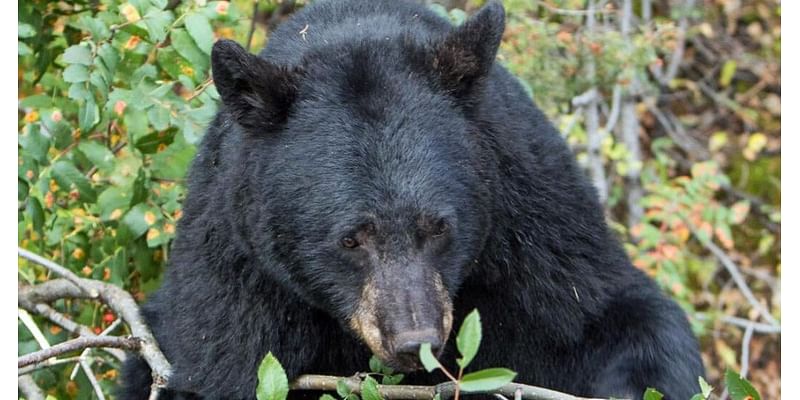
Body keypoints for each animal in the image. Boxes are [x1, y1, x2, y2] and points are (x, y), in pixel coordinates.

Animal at [122, 0, 704, 398]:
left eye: (439, 226)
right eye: (351, 239)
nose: (413, 340)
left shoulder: (536, 224)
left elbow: (612, 317)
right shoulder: (238, 274)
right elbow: (221, 363)